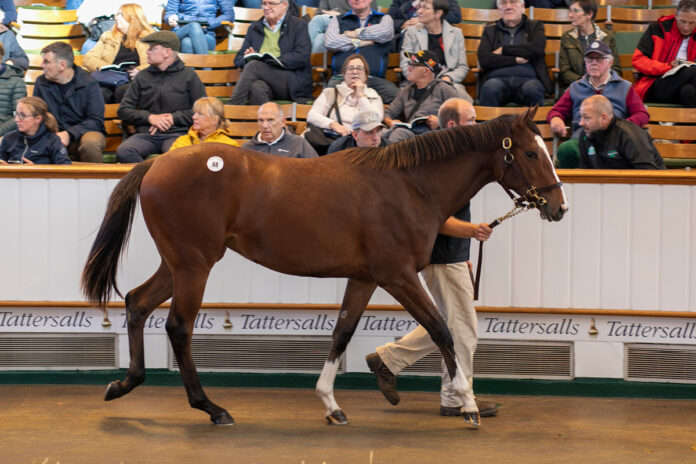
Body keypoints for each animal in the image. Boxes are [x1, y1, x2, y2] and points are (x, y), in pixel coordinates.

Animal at [83, 107, 564, 430]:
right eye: (529, 153)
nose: (559, 207)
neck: (409, 186)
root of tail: (157, 163)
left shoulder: (365, 277)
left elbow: (343, 333)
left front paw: (332, 405)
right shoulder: (397, 275)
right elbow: (441, 329)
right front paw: (467, 404)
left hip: (180, 263)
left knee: (137, 303)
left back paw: (123, 385)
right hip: (194, 265)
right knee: (178, 327)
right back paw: (212, 408)